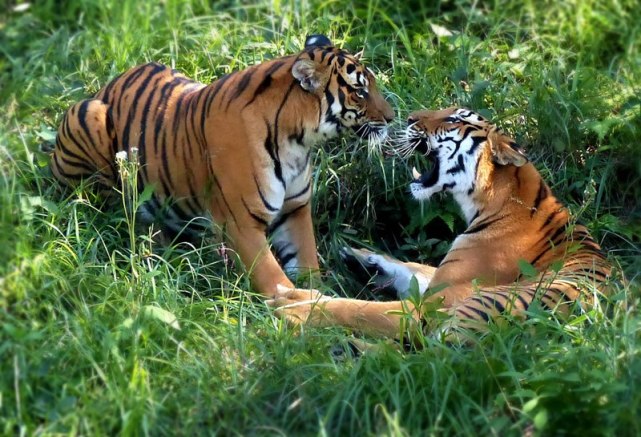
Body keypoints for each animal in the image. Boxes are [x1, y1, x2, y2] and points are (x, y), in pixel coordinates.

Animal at [48, 35, 396, 296]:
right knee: (114, 210)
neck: (298, 141)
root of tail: (103, 87)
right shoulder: (241, 222)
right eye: (360, 90)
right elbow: (275, 279)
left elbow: (308, 263)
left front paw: (324, 293)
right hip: (90, 122)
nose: (392, 117)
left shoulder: (295, 209)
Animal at [270, 106, 608, 338]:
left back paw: (295, 304)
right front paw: (361, 256)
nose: (408, 119)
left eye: (455, 119)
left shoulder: (439, 296)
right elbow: (415, 268)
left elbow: (367, 302)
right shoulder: (441, 280)